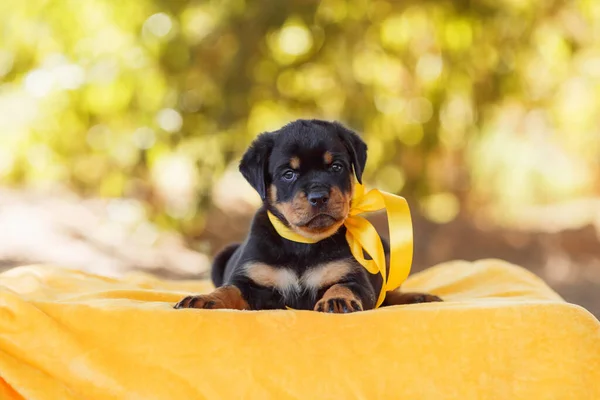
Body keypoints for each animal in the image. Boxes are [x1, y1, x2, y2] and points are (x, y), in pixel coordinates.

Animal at [173, 119, 440, 312]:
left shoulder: (355, 278)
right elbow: (229, 290)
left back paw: (418, 296)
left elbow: (343, 286)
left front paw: (336, 300)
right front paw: (204, 298)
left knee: (390, 293)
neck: (302, 244)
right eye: (288, 174)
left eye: (336, 166)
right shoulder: (250, 281)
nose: (319, 196)